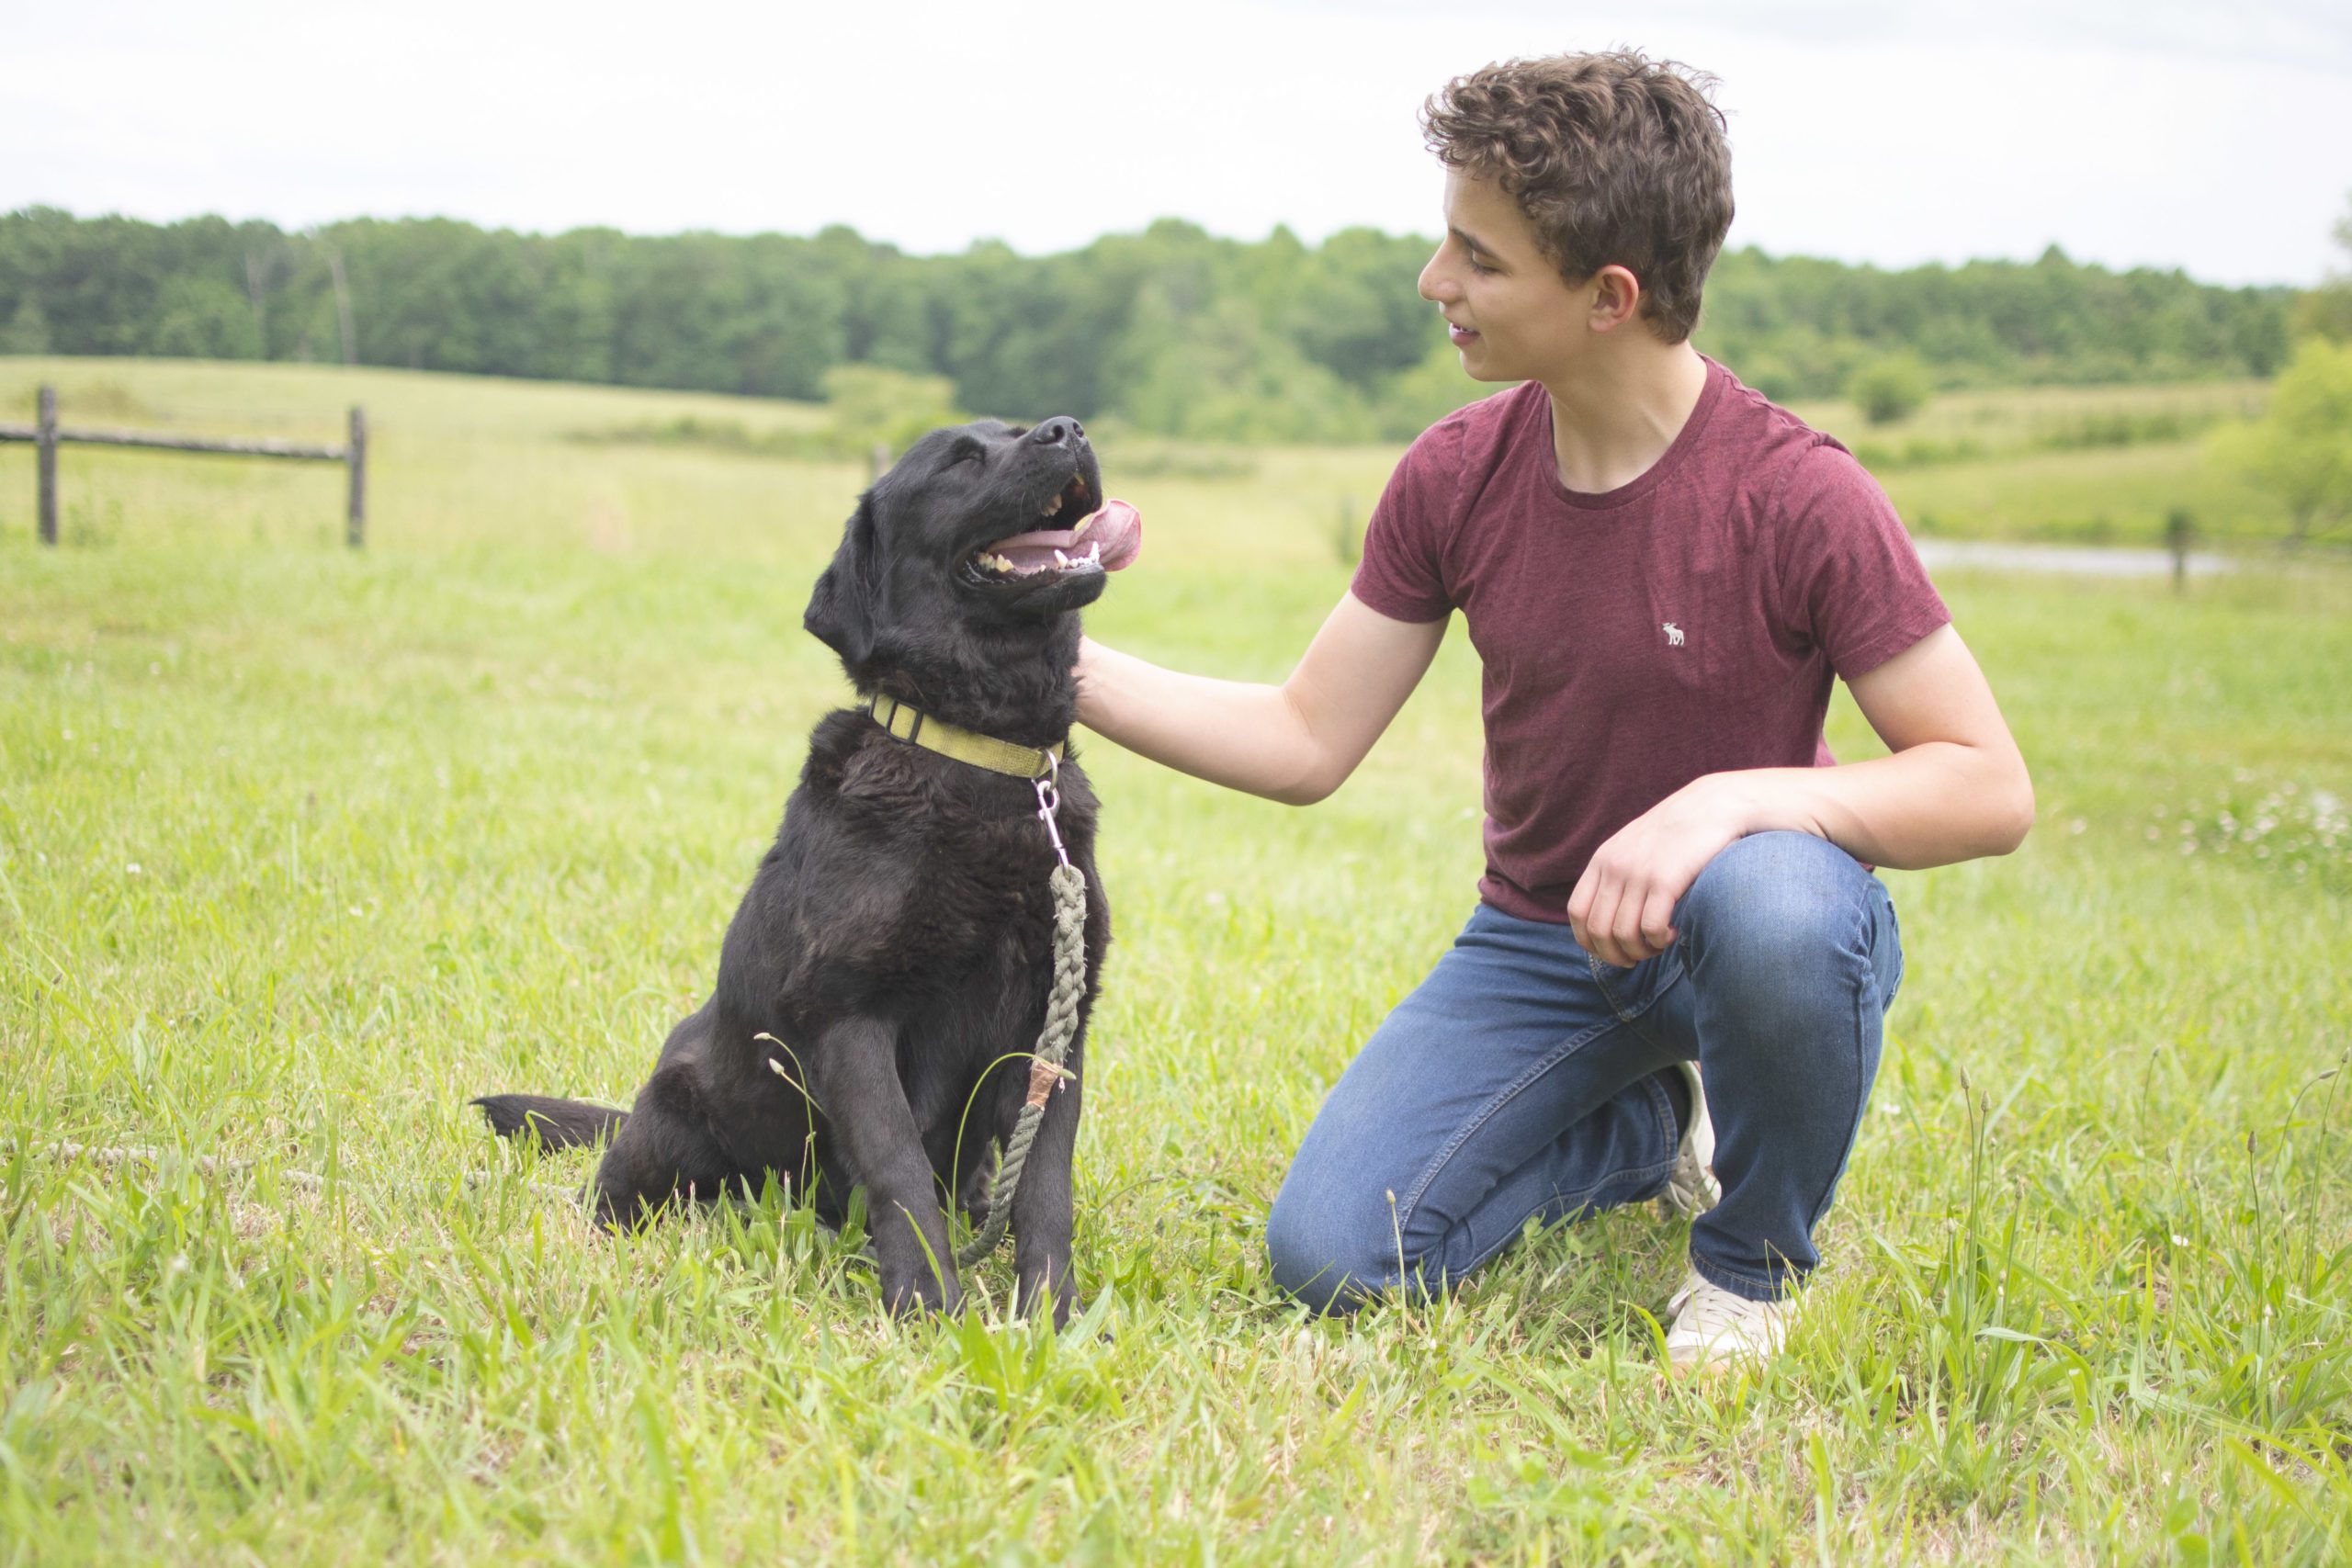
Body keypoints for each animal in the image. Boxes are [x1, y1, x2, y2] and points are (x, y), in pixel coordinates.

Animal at [477, 415, 1138, 1325]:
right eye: (961, 459)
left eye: (1017, 431)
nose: (1067, 429)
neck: (979, 756)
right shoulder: (849, 1012)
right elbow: (897, 1167)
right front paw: (928, 1305)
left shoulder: (1054, 1029)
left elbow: (1045, 1185)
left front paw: (1048, 1314)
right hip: (675, 1111)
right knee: (617, 1193)